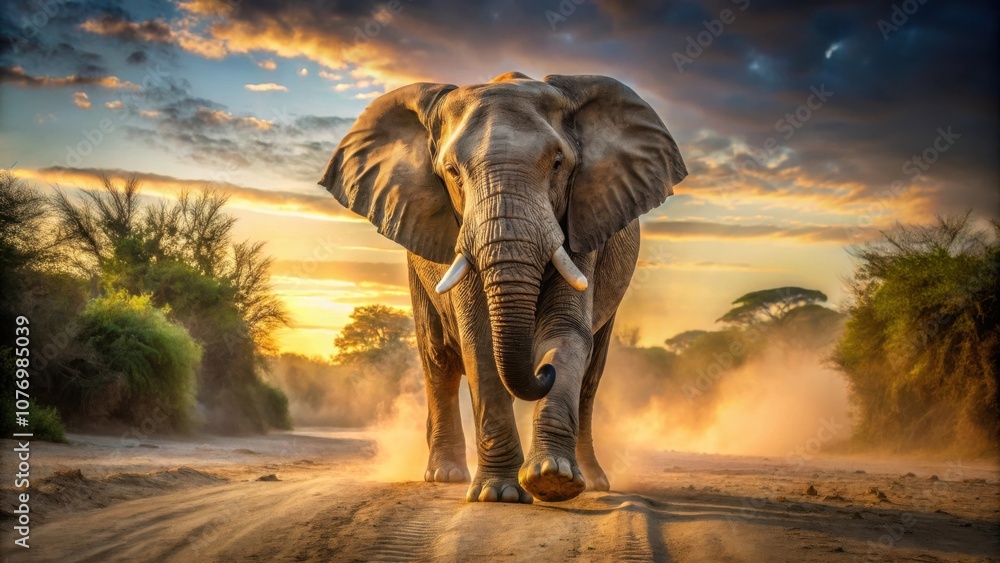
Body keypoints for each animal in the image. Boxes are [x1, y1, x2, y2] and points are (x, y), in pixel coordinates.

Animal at [320, 71, 687, 503]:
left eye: (558, 164)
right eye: (452, 171)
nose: (543, 372)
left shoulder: (582, 223)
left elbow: (565, 331)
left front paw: (552, 479)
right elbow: (478, 341)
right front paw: (498, 494)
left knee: (591, 375)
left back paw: (594, 482)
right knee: (438, 361)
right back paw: (445, 475)